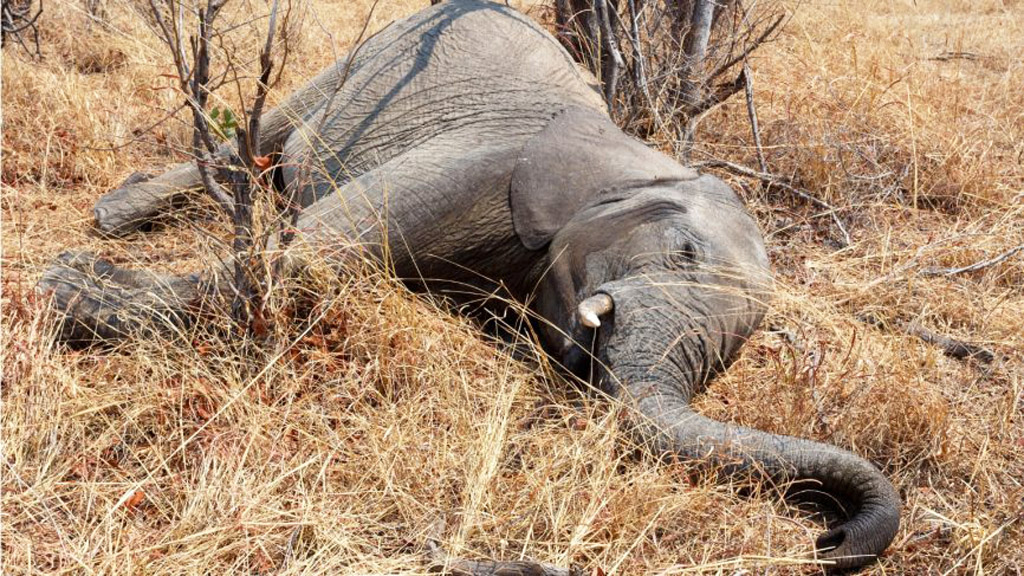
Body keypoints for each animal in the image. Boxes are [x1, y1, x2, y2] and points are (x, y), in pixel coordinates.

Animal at [37, 0, 900, 570]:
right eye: (683, 252)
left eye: (729, 359)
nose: (827, 537)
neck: (638, 159)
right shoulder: (488, 163)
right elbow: (312, 255)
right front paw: (66, 287)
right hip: (375, 51)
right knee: (263, 134)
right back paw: (114, 217)